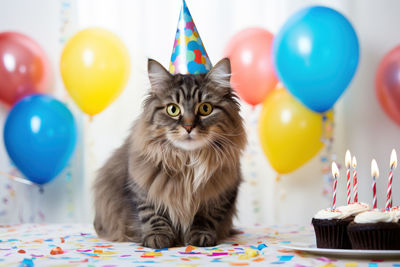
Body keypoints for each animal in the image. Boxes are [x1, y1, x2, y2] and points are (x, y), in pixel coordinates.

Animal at [93, 58, 247, 249]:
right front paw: (157, 237)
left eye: (205, 108)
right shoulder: (142, 188)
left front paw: (201, 236)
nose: (188, 127)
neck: (188, 161)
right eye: (173, 110)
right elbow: (152, 214)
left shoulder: (221, 193)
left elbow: (206, 217)